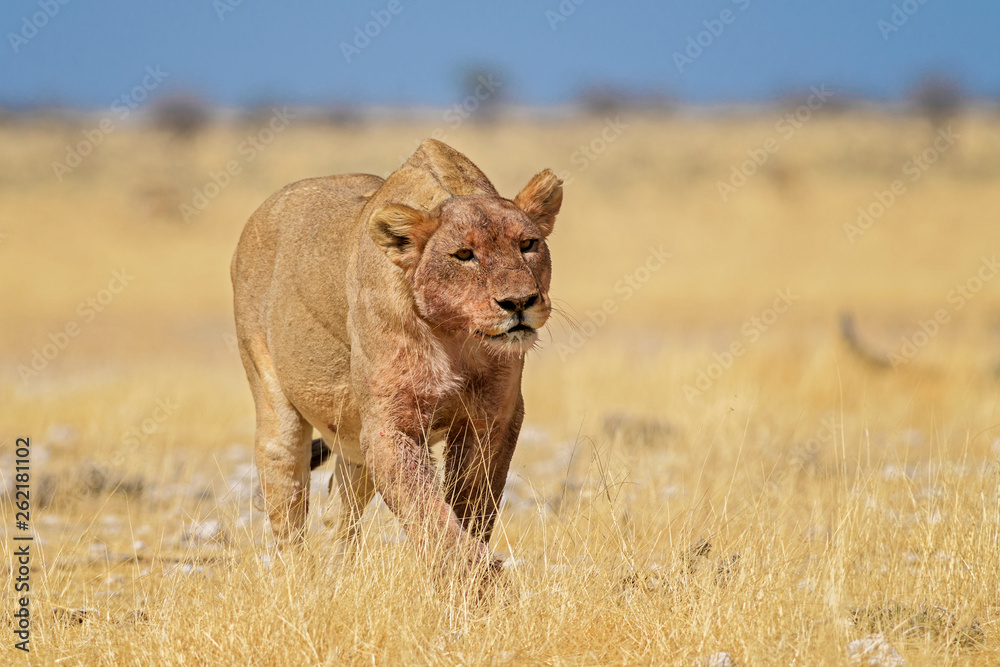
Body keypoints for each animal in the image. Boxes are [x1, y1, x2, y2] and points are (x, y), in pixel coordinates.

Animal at [231, 139, 562, 578]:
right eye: (464, 254)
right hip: (276, 408)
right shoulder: (390, 425)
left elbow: (472, 505)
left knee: (341, 511)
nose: (519, 302)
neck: (455, 335)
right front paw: (474, 578)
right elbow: (426, 509)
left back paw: (341, 577)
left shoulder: (494, 418)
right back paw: (299, 581)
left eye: (527, 244)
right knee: (287, 504)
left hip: (353, 441)